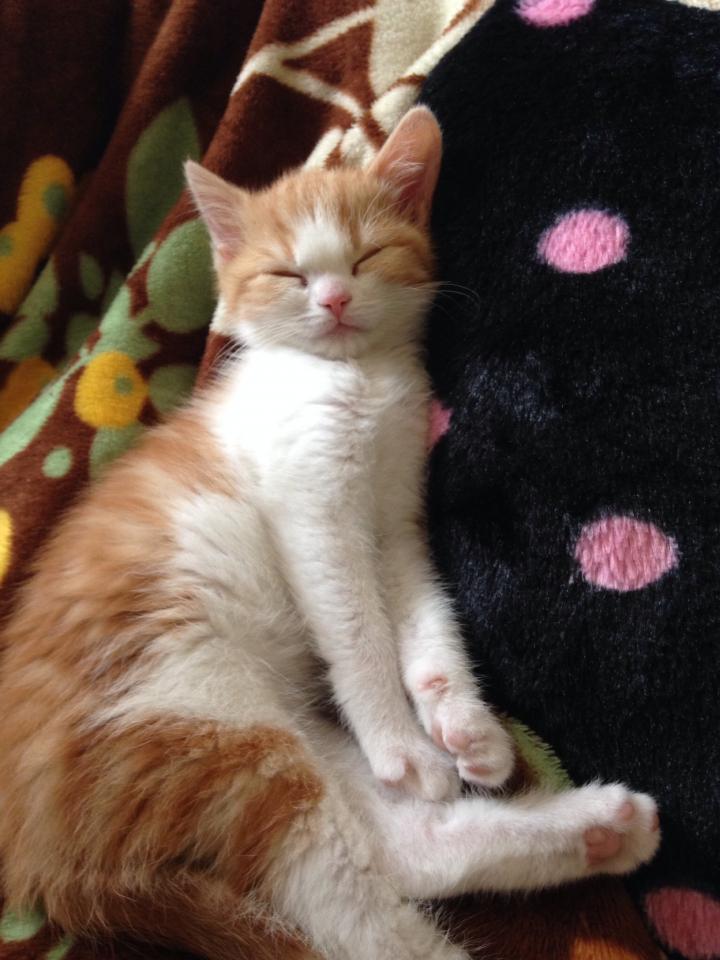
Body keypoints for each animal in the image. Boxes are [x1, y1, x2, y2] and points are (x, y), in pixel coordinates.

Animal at [0, 107, 660, 960]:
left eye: (367, 254)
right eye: (288, 274)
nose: (336, 299)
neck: (355, 378)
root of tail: (39, 858)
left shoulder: (396, 517)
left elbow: (426, 617)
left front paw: (465, 727)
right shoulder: (312, 508)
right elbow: (358, 630)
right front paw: (404, 742)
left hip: (251, 732)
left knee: (402, 848)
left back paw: (602, 829)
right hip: (198, 728)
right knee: (354, 903)